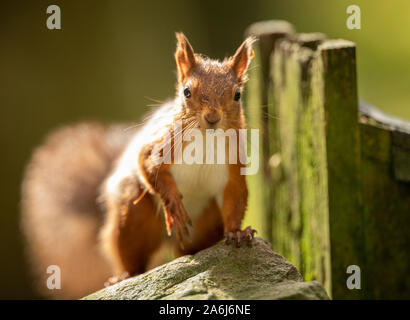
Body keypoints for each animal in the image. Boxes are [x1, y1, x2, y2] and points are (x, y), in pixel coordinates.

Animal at [21, 33, 256, 298]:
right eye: (187, 91)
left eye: (237, 94)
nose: (212, 118)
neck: (206, 138)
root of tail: (171, 240)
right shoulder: (159, 144)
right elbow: (147, 166)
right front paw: (173, 201)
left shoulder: (234, 168)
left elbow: (235, 198)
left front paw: (237, 232)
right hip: (134, 214)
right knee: (131, 255)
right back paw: (124, 275)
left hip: (207, 218)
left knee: (190, 248)